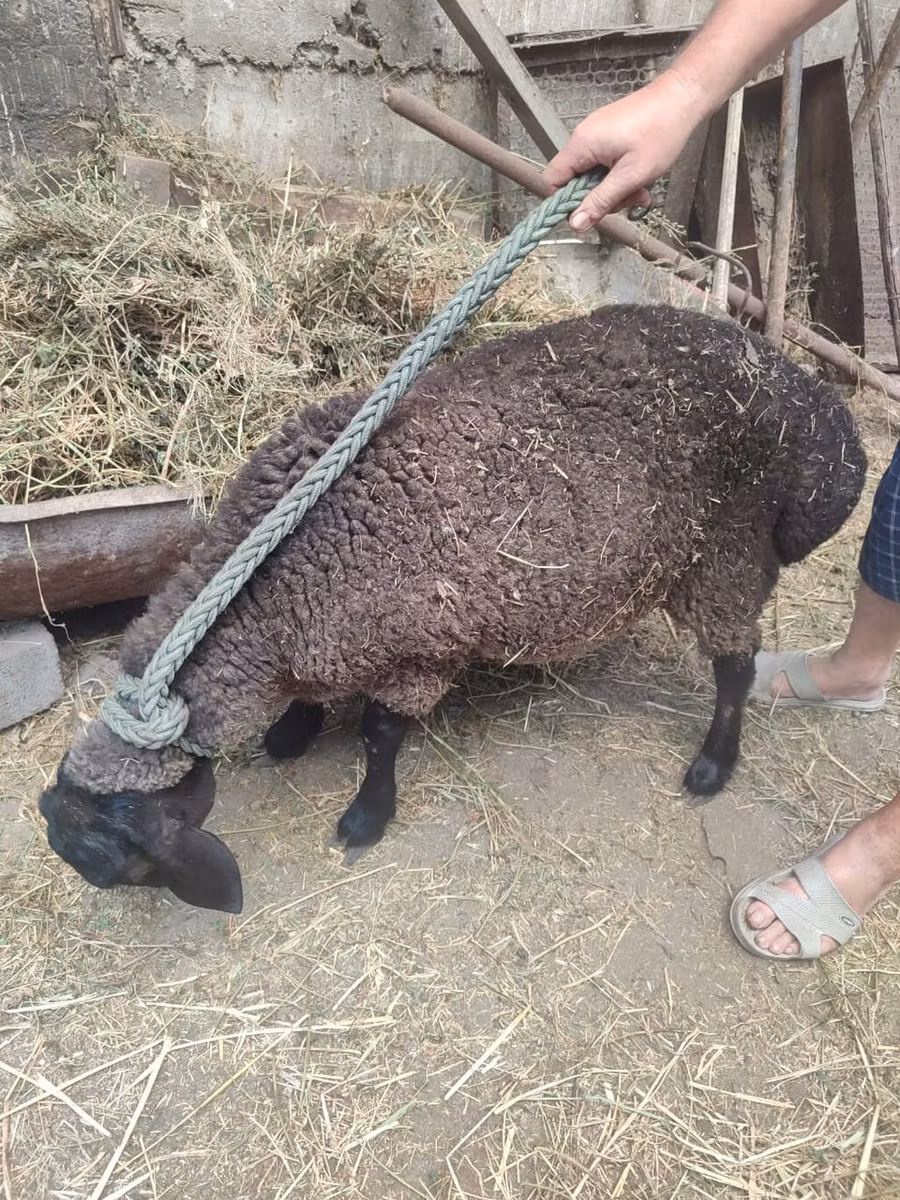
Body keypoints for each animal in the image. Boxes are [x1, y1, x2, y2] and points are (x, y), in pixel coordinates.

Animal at [38, 303, 867, 913]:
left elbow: (378, 736)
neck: (271, 583)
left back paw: (712, 766)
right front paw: (291, 732)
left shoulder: (421, 652)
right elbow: (318, 697)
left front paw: (365, 819)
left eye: (130, 868)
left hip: (725, 556)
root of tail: (818, 414)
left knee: (736, 666)